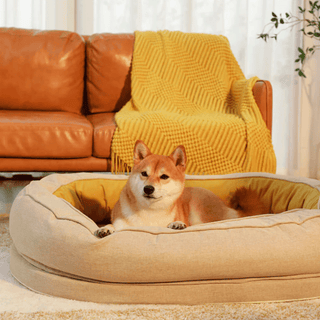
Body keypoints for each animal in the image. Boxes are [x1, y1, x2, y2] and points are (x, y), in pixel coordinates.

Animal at [95, 141, 268, 238]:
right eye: (144, 174)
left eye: (164, 176)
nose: (148, 189)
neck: (149, 212)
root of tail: (226, 205)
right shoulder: (122, 224)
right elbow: (112, 226)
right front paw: (105, 229)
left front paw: (177, 224)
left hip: (198, 210)